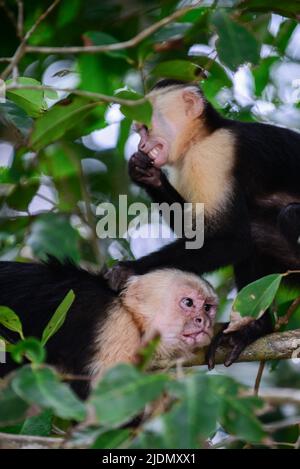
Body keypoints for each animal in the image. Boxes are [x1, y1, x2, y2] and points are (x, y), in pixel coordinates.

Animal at [108, 78, 300, 368]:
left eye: (145, 128)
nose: (141, 146)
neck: (202, 136)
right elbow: (200, 232)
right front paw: (146, 174)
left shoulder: (212, 156)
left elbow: (233, 240)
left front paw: (130, 269)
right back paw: (255, 328)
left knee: (283, 218)